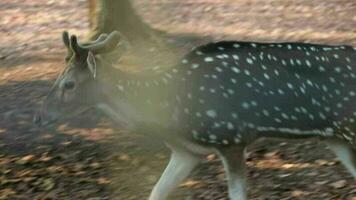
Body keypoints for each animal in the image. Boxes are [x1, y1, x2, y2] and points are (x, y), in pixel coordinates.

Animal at [35, 30, 356, 200]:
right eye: (58, 77)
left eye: (68, 83)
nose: (39, 117)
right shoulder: (187, 152)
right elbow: (155, 193)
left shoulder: (231, 138)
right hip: (336, 138)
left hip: (350, 127)